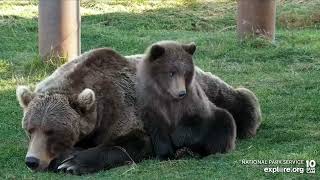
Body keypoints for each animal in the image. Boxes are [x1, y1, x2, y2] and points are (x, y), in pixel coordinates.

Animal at [16, 41, 260, 174]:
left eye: (52, 131)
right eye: (30, 129)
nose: (32, 161)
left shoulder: (126, 110)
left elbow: (132, 142)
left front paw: (72, 163)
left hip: (215, 96)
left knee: (242, 105)